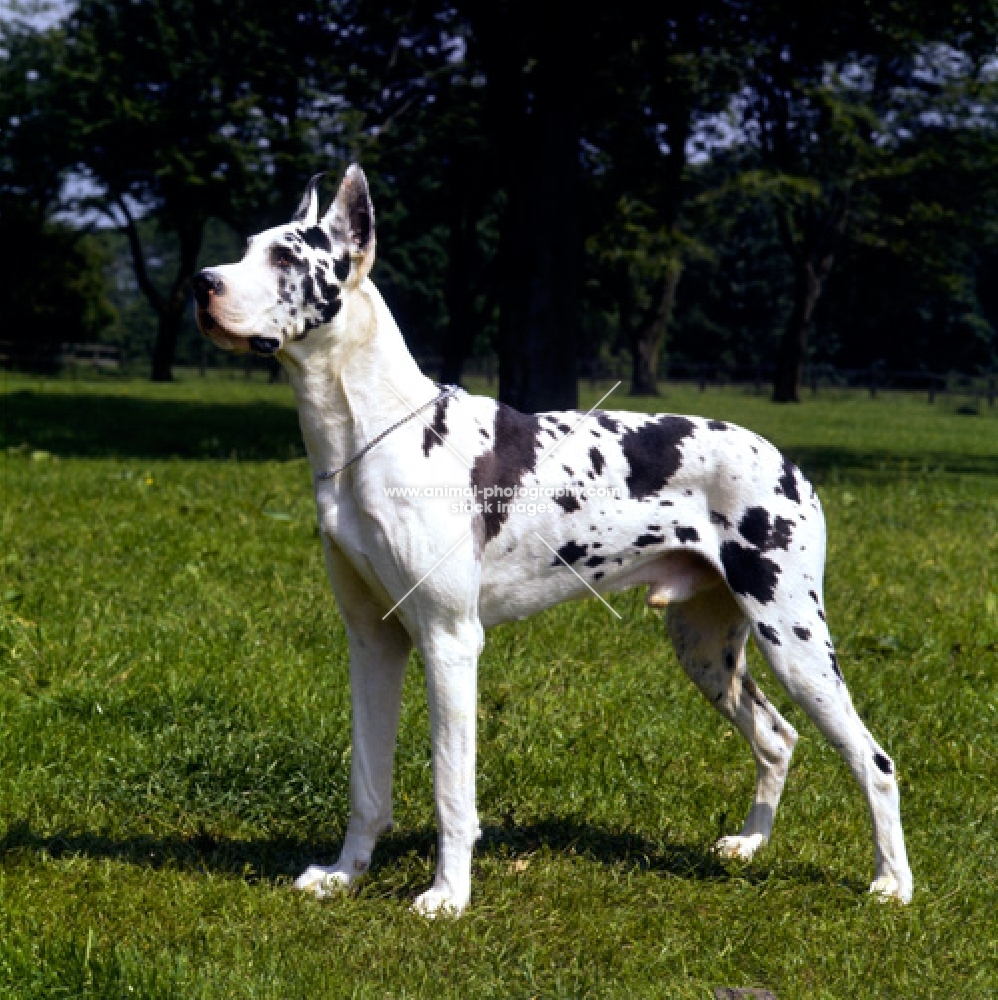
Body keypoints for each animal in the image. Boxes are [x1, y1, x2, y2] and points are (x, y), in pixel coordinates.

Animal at [193, 164, 916, 916]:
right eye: (246, 249)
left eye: (285, 258)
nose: (201, 284)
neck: (369, 433)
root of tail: (788, 463)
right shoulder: (373, 642)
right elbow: (367, 785)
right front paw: (344, 875)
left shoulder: (450, 642)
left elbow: (452, 789)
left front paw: (448, 895)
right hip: (705, 648)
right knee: (777, 738)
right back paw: (750, 844)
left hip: (794, 639)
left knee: (875, 760)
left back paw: (892, 881)